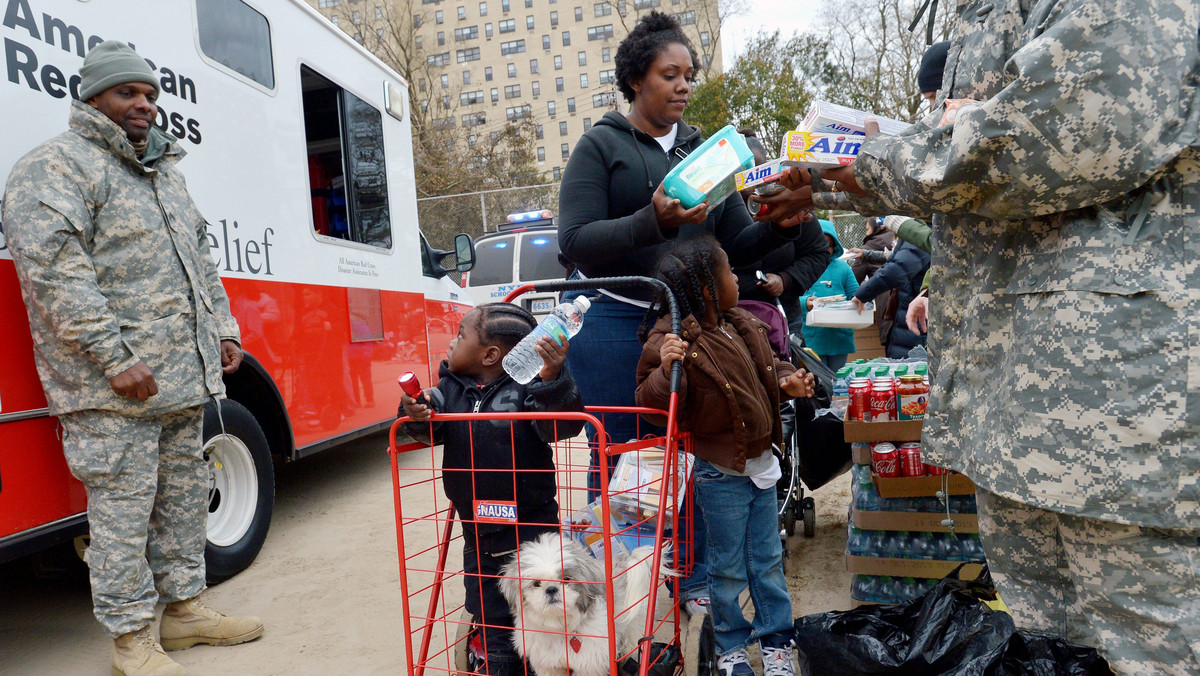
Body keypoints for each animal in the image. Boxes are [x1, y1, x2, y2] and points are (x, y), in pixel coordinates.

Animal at [494, 535, 667, 676]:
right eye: (537, 583)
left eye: (567, 579)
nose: (551, 589)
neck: (561, 627)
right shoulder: (548, 665)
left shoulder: (589, 664)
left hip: (634, 633)